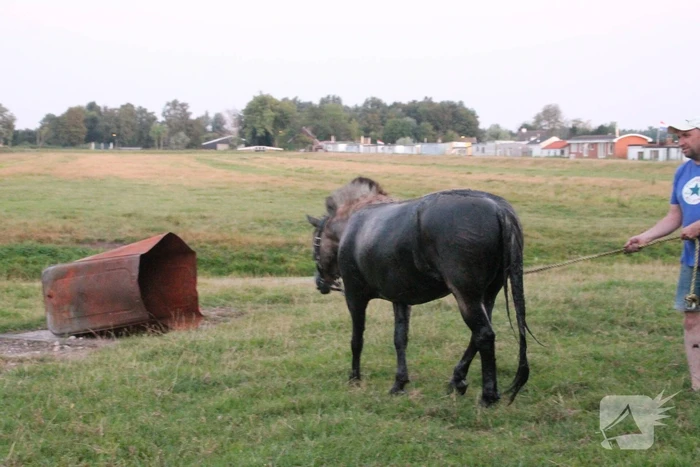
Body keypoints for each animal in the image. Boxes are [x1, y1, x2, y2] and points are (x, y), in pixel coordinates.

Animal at [306, 176, 532, 406]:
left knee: (484, 335)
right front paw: (399, 383)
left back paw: (488, 395)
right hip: (487, 294)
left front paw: (354, 378)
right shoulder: (400, 299)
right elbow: (400, 339)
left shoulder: (355, 296)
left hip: (466, 295)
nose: (319, 282)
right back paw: (457, 379)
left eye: (316, 240)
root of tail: (499, 209)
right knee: (478, 336)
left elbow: (357, 339)